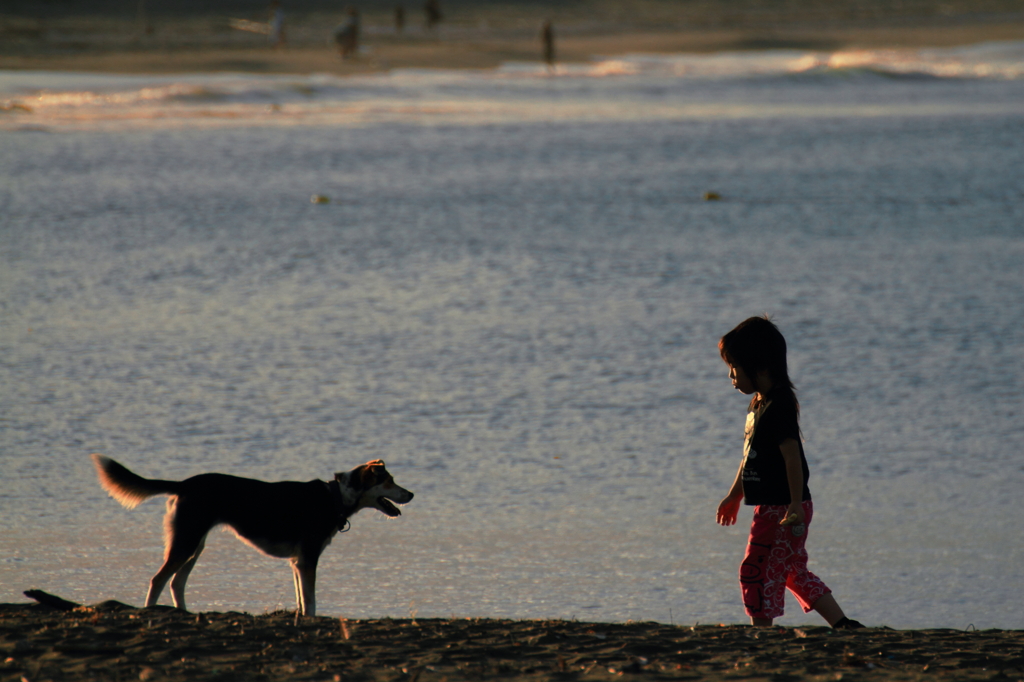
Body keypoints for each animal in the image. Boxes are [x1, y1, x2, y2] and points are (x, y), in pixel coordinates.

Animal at [92, 450, 411, 614]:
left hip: (194, 545)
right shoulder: (308, 560)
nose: (412, 494)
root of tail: (184, 483)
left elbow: (302, 599)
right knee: (158, 579)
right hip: (186, 543)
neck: (335, 496)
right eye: (390, 480)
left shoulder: (298, 562)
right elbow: (310, 601)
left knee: (176, 582)